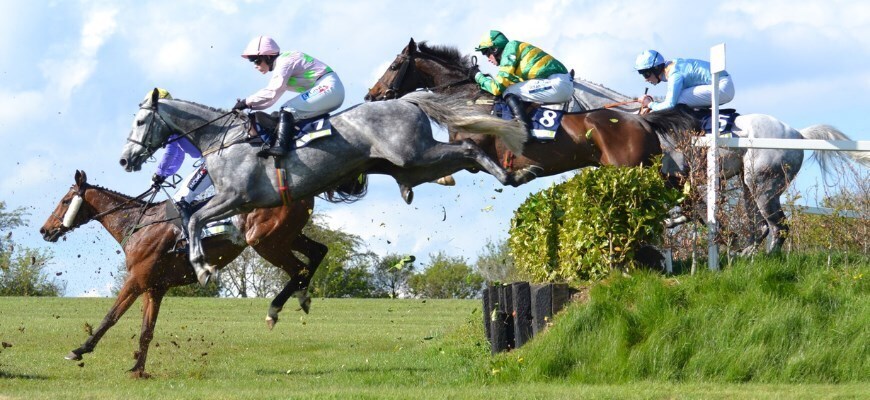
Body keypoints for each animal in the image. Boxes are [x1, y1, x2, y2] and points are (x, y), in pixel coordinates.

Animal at [40, 171, 328, 378]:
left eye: (65, 201)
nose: (45, 230)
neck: (138, 225)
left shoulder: (136, 280)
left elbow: (111, 317)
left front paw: (79, 350)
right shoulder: (154, 287)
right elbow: (146, 330)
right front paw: (138, 370)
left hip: (265, 241)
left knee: (299, 268)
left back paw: (277, 309)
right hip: (286, 236)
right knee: (318, 252)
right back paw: (302, 297)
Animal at [117, 89, 524, 286]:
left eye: (139, 121)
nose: (125, 159)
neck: (222, 138)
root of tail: (406, 100)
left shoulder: (235, 197)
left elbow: (194, 219)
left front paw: (202, 268)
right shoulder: (235, 203)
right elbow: (195, 220)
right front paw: (201, 261)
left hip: (415, 154)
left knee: (468, 147)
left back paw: (513, 173)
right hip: (410, 165)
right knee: (462, 157)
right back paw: (512, 173)